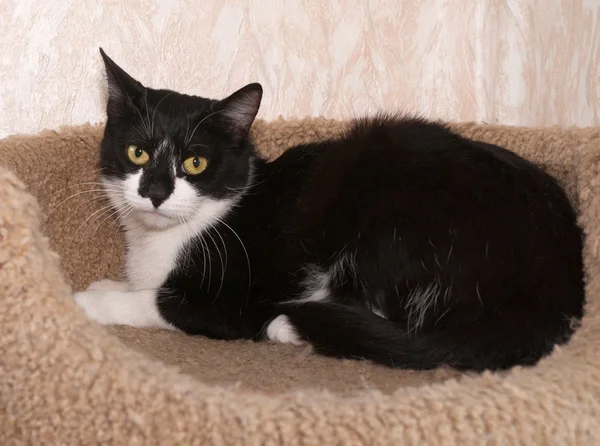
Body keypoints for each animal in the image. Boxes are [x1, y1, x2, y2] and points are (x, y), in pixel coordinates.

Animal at [72, 47, 584, 372]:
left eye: (195, 162)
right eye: (137, 153)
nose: (156, 192)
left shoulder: (237, 295)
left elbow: (165, 302)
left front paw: (92, 301)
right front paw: (110, 283)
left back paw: (291, 327)